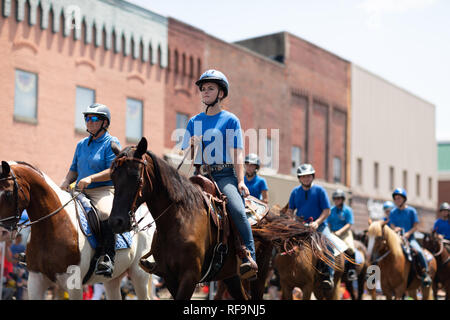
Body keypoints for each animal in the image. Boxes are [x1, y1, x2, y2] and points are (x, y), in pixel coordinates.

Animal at [0, 162, 154, 300]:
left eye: (7, 193)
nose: (3, 232)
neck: (53, 227)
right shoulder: (35, 281)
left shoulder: (73, 284)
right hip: (113, 279)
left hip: (139, 275)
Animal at [108, 138, 250, 300]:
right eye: (112, 177)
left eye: (136, 176)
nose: (116, 222)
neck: (179, 220)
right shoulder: (169, 276)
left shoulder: (189, 276)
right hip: (230, 276)